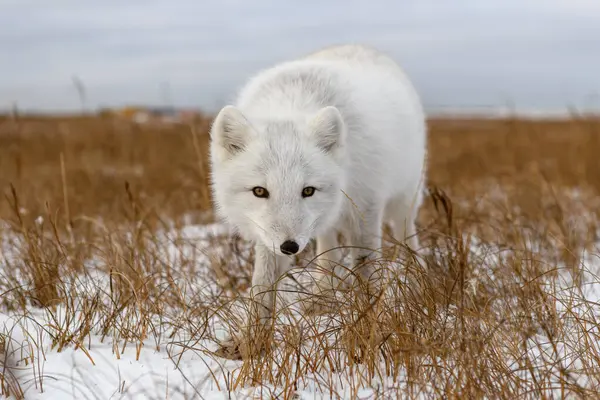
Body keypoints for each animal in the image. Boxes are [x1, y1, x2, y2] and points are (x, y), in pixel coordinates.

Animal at [211, 44, 426, 338]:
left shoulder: (366, 208)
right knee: (329, 254)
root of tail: (361, 46)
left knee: (408, 238)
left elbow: (367, 270)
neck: (290, 106)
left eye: (308, 190)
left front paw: (370, 326)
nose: (290, 246)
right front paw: (251, 340)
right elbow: (262, 285)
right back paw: (322, 297)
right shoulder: (268, 239)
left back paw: (419, 279)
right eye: (260, 191)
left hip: (402, 203)